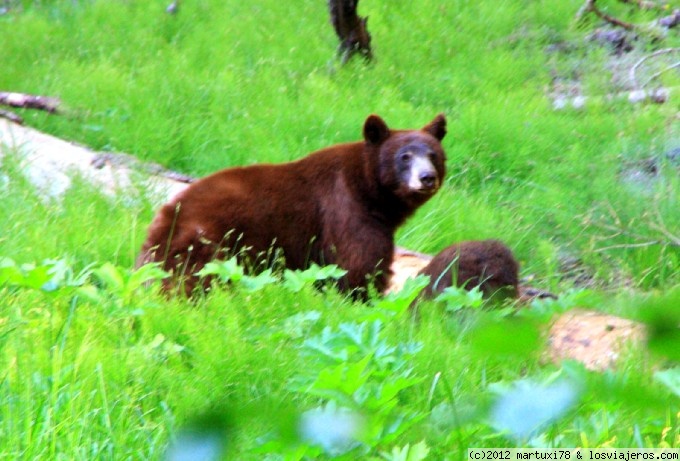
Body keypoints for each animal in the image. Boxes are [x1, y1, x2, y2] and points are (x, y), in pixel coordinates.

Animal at [137, 113, 446, 296]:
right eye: (404, 156)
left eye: (433, 154)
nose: (427, 177)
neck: (370, 190)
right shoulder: (347, 211)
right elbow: (359, 265)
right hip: (207, 245)